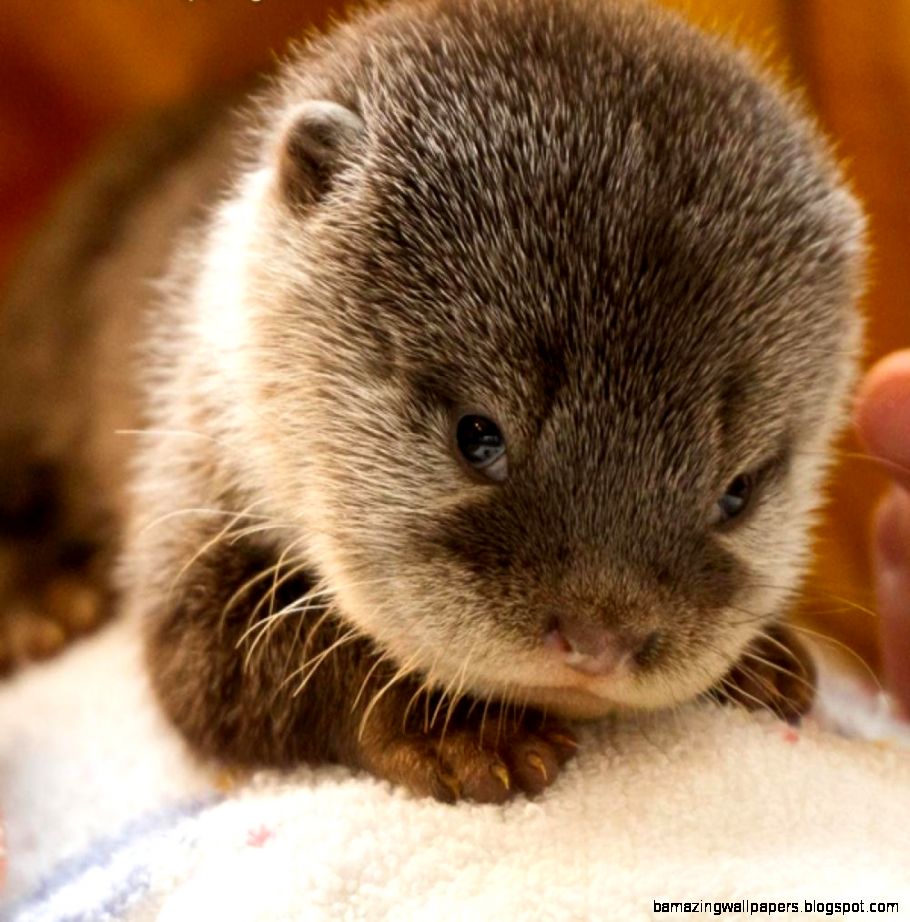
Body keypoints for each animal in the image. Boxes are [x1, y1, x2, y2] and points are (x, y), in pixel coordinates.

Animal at [0, 0, 868, 796]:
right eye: (477, 435)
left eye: (737, 492)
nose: (601, 638)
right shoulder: (190, 478)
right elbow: (213, 667)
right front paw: (456, 730)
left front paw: (761, 661)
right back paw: (42, 604)